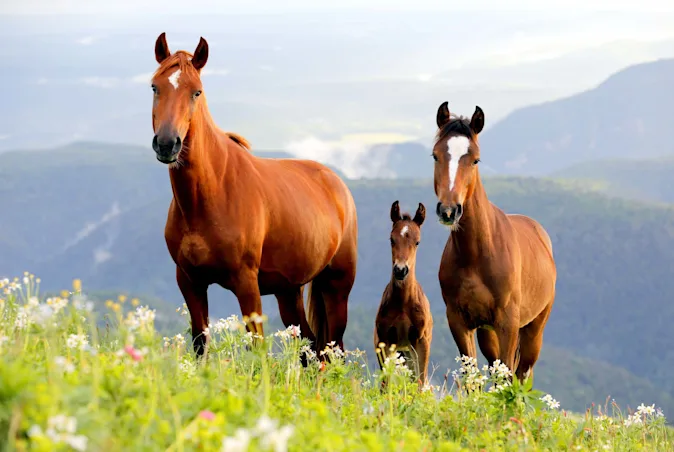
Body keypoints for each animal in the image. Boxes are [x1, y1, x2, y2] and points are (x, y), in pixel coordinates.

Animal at [149, 33, 358, 359]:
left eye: (196, 92)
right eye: (155, 87)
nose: (168, 144)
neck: (209, 196)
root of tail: (337, 184)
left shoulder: (246, 283)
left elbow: (257, 349)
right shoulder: (189, 281)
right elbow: (200, 344)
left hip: (337, 286)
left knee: (331, 350)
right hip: (289, 292)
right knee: (310, 347)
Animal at [374, 201, 433, 387]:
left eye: (417, 242)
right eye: (391, 239)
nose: (400, 270)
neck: (403, 303)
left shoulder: (421, 341)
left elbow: (420, 382)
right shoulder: (384, 340)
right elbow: (385, 383)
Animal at [431, 102, 556, 383]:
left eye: (475, 159)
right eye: (435, 156)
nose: (449, 211)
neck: (477, 254)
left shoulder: (507, 323)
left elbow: (509, 375)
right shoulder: (460, 322)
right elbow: (471, 377)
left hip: (534, 329)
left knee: (522, 373)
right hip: (487, 333)